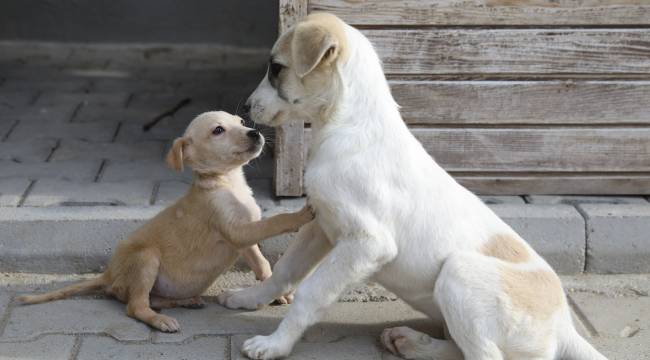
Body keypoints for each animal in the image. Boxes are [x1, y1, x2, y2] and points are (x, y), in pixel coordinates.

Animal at [19, 111, 312, 334]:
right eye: (218, 130)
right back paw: (161, 320)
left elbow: (262, 264)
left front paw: (277, 292)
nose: (255, 133)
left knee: (148, 300)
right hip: (146, 259)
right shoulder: (237, 232)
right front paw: (301, 215)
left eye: (240, 121)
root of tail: (109, 274)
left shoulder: (244, 241)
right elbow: (275, 222)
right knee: (135, 306)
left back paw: (185, 301)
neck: (226, 182)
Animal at [216, 12, 604, 358]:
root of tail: (565, 328)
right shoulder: (321, 225)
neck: (347, 128)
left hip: (458, 273)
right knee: (460, 349)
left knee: (483, 356)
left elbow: (310, 294)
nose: (246, 108)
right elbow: (285, 270)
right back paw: (410, 342)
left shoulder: (367, 243)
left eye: (276, 68)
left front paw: (274, 344)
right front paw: (248, 298)